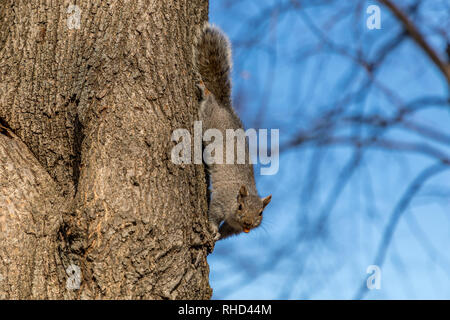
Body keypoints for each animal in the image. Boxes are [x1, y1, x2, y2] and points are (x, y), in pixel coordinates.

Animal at [193, 23, 270, 240]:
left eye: (261, 213)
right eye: (240, 206)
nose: (248, 223)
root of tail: (224, 107)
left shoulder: (233, 228)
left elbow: (226, 232)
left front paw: (218, 236)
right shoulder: (221, 200)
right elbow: (213, 214)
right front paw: (212, 228)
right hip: (209, 120)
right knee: (208, 101)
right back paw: (205, 90)